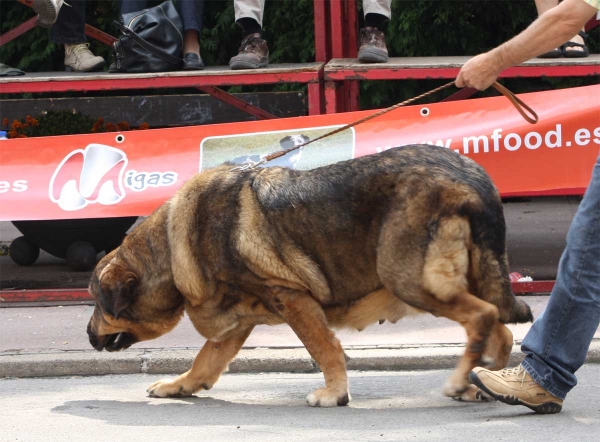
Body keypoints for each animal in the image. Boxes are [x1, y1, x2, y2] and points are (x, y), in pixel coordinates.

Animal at [86, 146, 532, 408]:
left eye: (97, 303)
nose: (88, 335)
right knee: (499, 329)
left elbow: (324, 349)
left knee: (482, 317)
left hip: (412, 280)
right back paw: (483, 378)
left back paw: (461, 380)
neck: (171, 246)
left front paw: (334, 393)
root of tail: (473, 178)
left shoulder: (293, 299)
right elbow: (205, 361)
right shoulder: (236, 323)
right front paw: (179, 386)